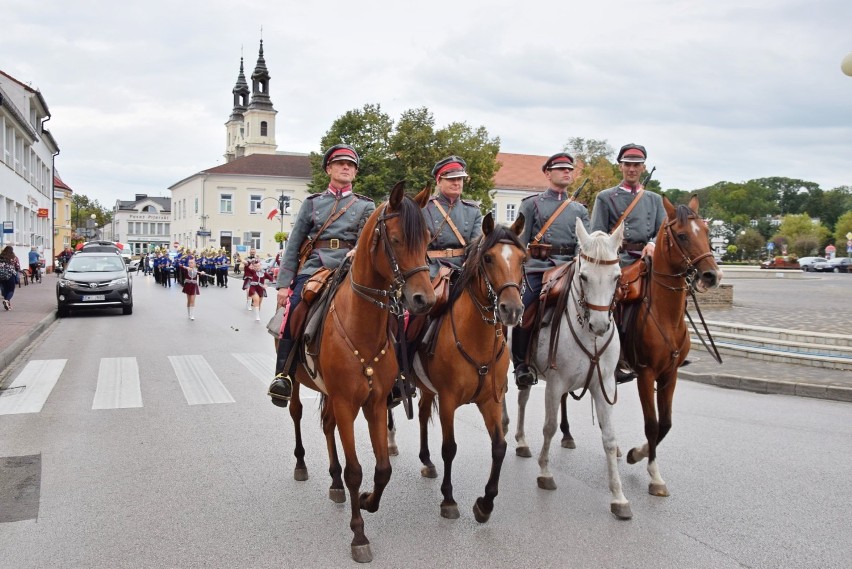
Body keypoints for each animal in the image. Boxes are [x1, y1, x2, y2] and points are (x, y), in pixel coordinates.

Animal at [284, 181, 436, 560]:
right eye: (395, 239)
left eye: (428, 238)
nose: (424, 300)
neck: (361, 326)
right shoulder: (345, 403)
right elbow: (356, 470)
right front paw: (358, 534)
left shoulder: (375, 403)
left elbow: (382, 469)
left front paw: (368, 501)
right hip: (297, 382)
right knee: (296, 413)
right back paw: (301, 464)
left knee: (327, 427)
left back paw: (334, 481)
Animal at [410, 211, 528, 520]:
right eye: (488, 258)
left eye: (523, 259)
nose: (512, 309)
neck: (477, 339)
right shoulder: (448, 400)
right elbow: (450, 448)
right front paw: (448, 499)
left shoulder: (491, 400)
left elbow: (499, 446)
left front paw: (486, 503)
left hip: (426, 386)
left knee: (423, 411)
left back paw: (426, 460)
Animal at [512, 219, 632, 520]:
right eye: (585, 277)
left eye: (616, 276)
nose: (600, 326)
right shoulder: (555, 385)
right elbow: (549, 427)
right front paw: (545, 471)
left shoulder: (605, 386)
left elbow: (609, 438)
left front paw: (618, 496)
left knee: (523, 398)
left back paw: (522, 440)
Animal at [624, 193, 724, 494]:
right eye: (681, 235)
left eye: (706, 231)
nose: (712, 276)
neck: (664, 314)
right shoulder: (645, 374)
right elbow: (652, 424)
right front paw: (654, 475)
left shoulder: (670, 374)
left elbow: (665, 424)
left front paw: (637, 453)